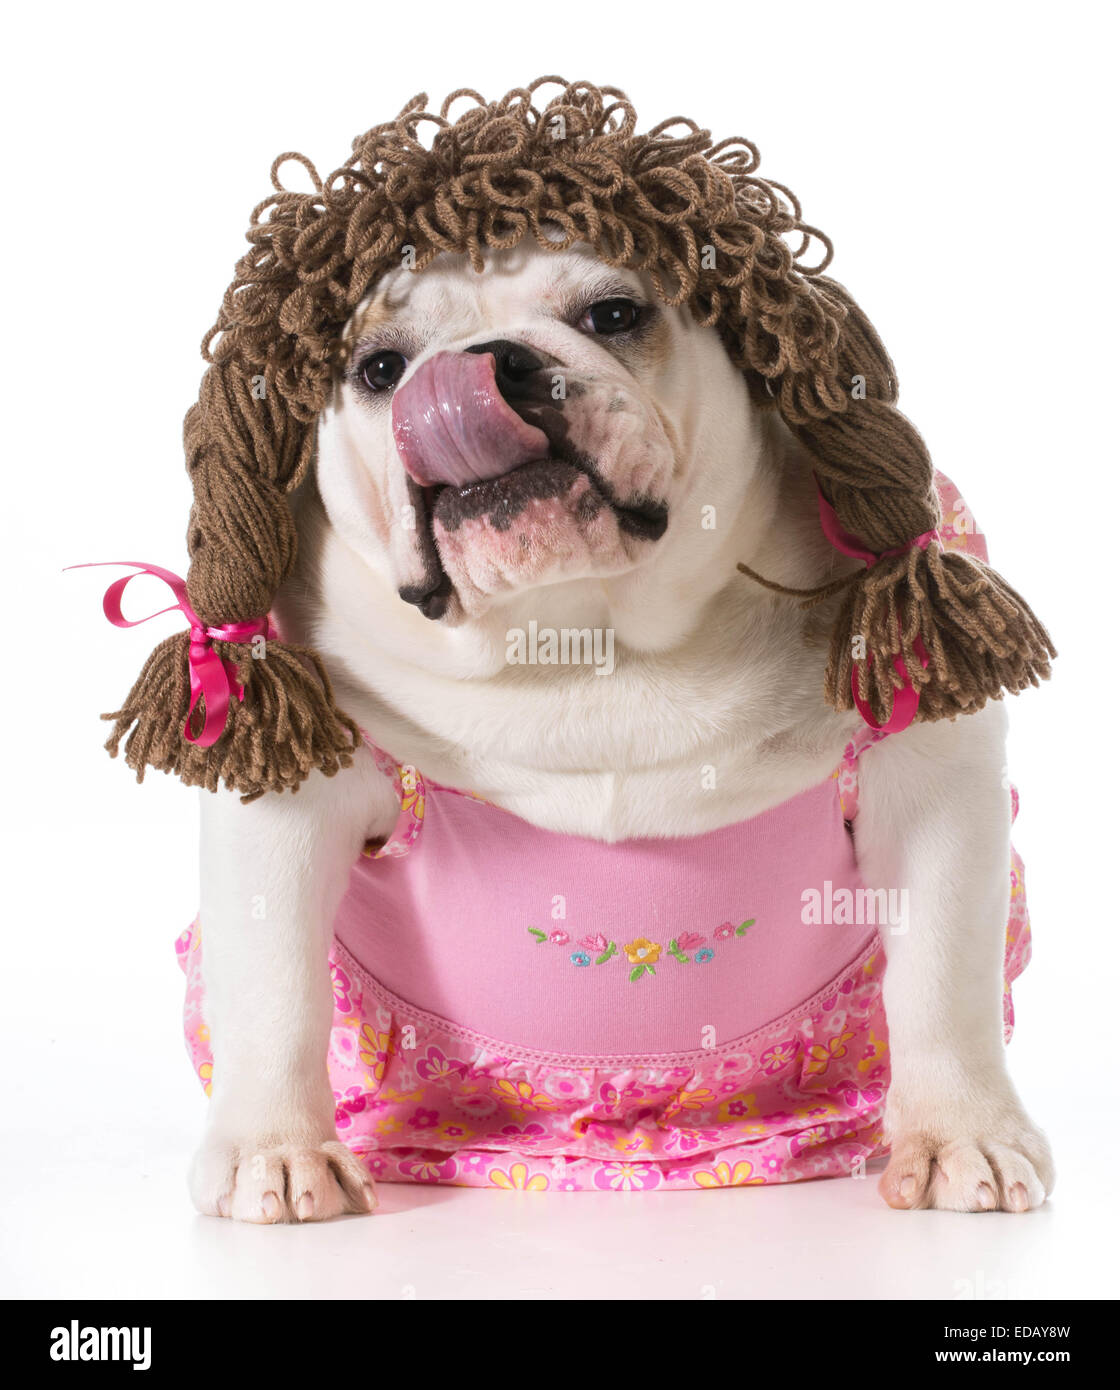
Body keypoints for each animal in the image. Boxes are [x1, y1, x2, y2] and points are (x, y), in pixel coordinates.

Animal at [184, 244, 1050, 1223]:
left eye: (613, 314)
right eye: (378, 368)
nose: (482, 364)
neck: (581, 638)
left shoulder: (934, 779)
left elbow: (944, 975)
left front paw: (961, 1136)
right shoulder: (287, 811)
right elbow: (274, 988)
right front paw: (277, 1152)